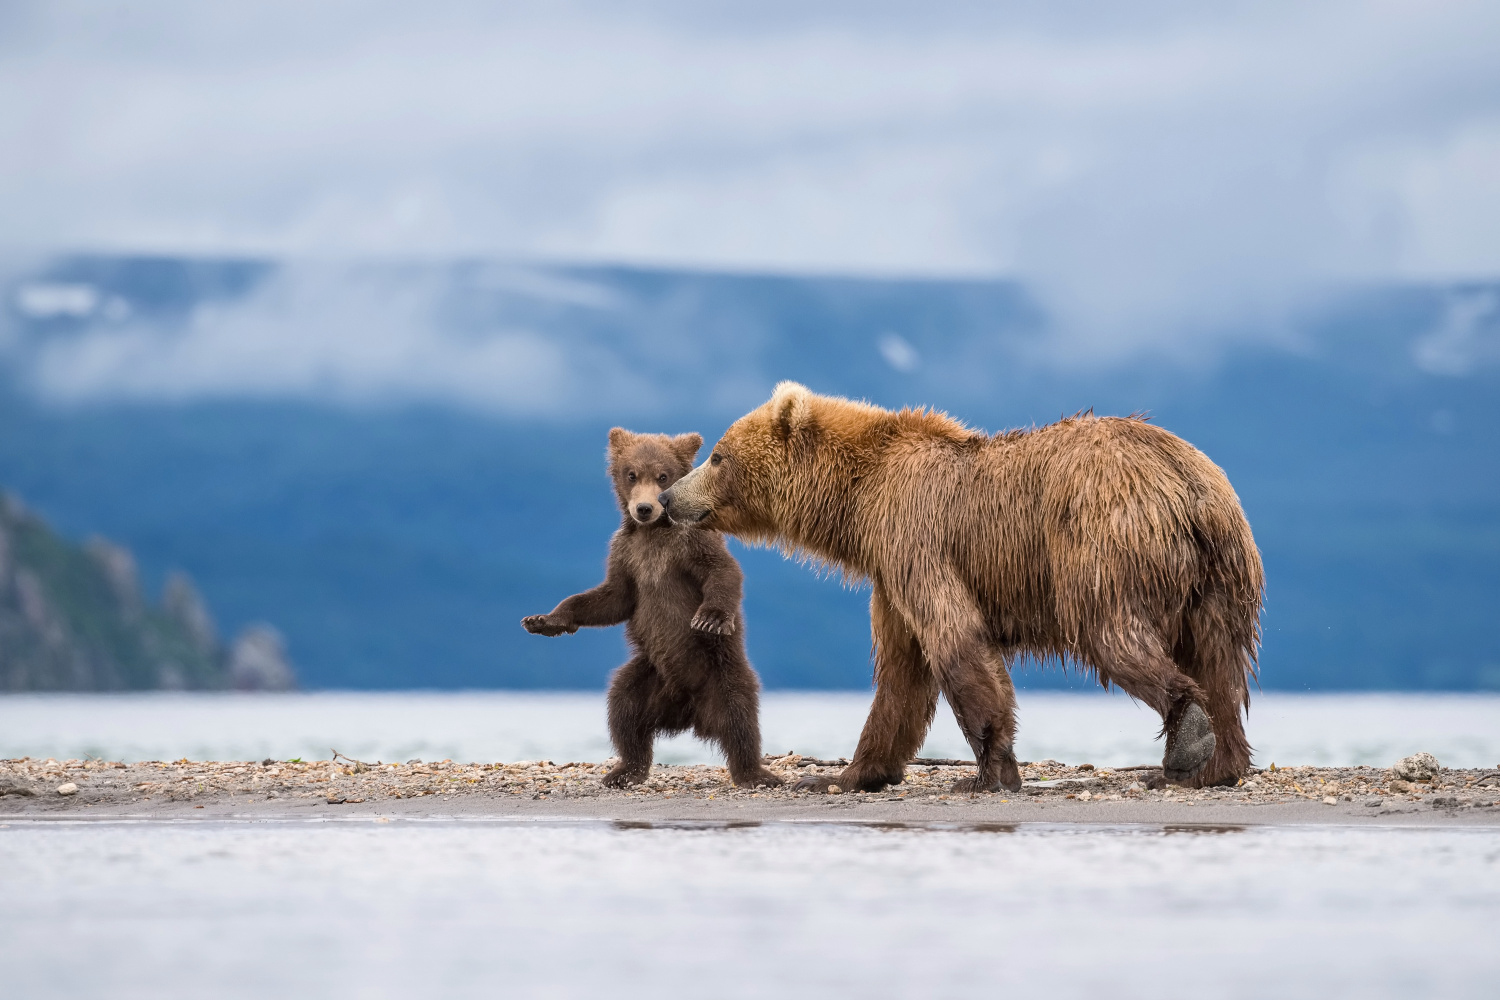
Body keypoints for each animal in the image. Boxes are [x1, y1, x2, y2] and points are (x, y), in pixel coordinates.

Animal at [663, 380, 1260, 791]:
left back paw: (1186, 739)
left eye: (717, 455)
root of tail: (1187, 482)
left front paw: (986, 771)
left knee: (1113, 635)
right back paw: (1218, 763)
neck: (859, 500)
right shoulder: (888, 572)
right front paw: (846, 773)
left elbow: (955, 639)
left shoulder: (915, 537)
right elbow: (900, 676)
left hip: (1103, 541)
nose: (669, 497)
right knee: (1221, 660)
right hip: (1222, 573)